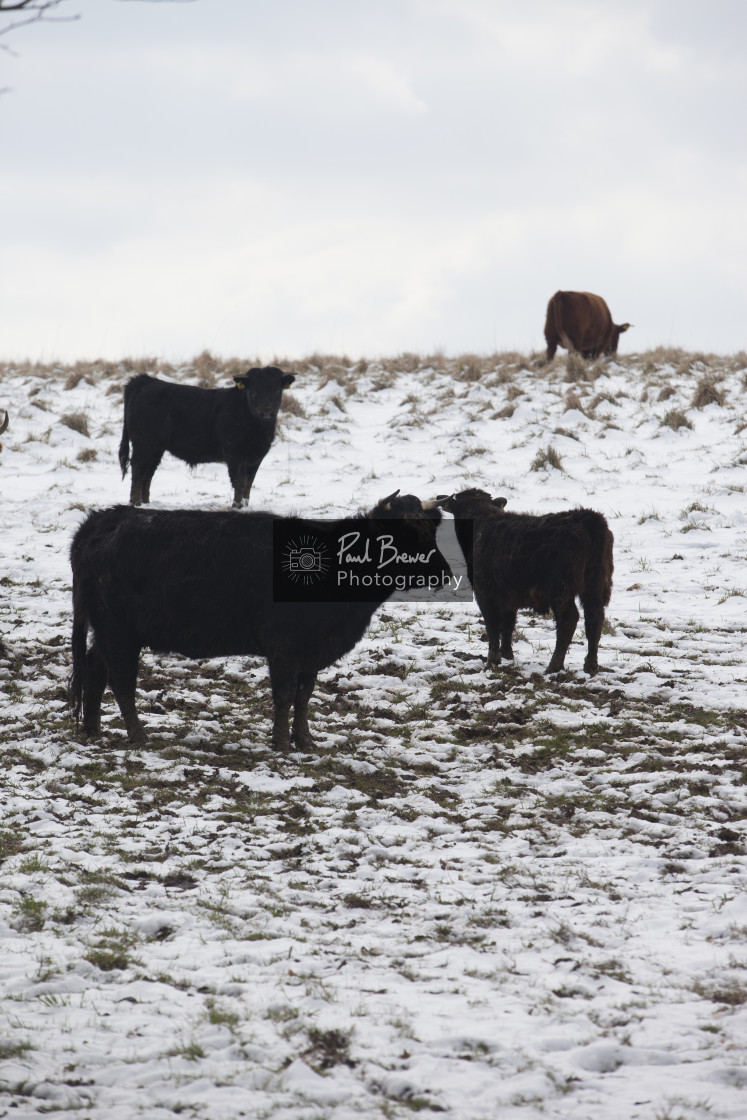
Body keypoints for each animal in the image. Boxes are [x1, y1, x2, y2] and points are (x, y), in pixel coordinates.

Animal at [68, 495, 450, 748]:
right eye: (403, 534)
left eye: (430, 532)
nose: (444, 573)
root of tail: (103, 520)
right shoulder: (284, 647)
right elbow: (284, 694)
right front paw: (281, 744)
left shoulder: (310, 651)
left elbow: (304, 695)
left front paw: (304, 740)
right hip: (119, 634)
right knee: (120, 681)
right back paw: (139, 736)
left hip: (109, 632)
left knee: (94, 668)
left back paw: (93, 729)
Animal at [117, 367, 295, 508]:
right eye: (253, 392)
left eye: (277, 391)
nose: (266, 413)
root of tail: (145, 381)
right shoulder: (235, 454)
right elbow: (239, 482)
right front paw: (237, 506)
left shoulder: (256, 458)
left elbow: (248, 484)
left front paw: (245, 506)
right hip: (143, 444)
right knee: (138, 470)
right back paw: (134, 503)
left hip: (156, 448)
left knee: (148, 474)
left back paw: (145, 503)